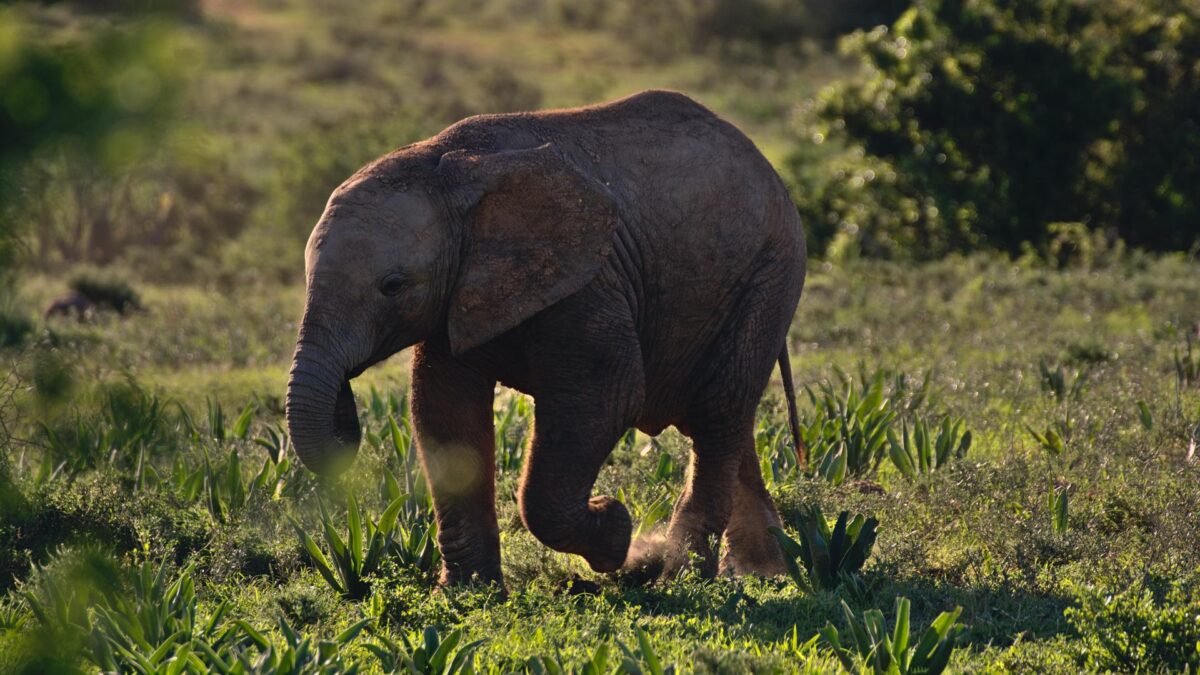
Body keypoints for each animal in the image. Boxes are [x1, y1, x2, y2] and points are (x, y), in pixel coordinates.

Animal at [284, 88, 801, 583]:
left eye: (392, 286)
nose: (345, 408)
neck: (449, 167)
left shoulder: (589, 280)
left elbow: (608, 396)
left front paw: (616, 532)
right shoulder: (461, 290)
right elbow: (443, 411)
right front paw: (468, 593)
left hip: (769, 275)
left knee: (718, 410)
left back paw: (679, 574)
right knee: (724, 422)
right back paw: (763, 570)